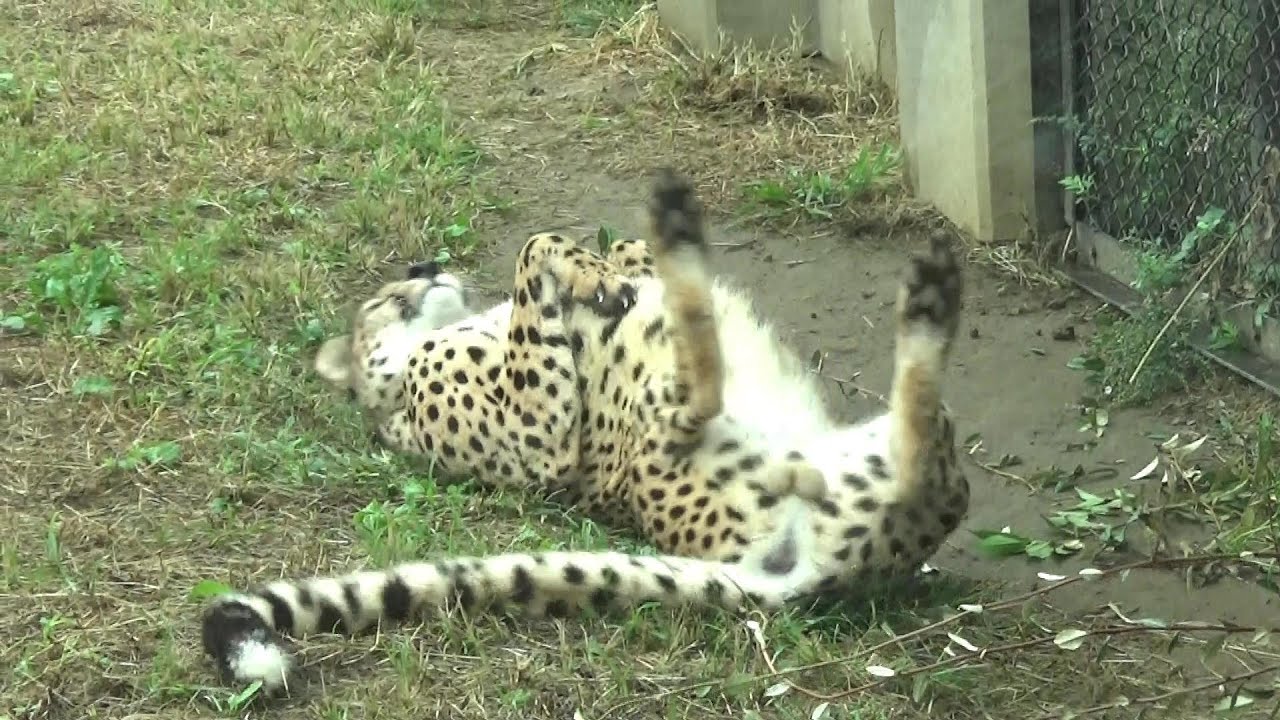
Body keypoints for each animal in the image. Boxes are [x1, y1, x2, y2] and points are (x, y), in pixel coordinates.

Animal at [199, 167, 970, 693]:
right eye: (388, 293)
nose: (427, 263)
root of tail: (821, 582)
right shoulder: (541, 434)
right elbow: (531, 257)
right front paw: (588, 274)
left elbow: (574, 255)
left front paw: (601, 267)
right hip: (663, 439)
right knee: (707, 384)